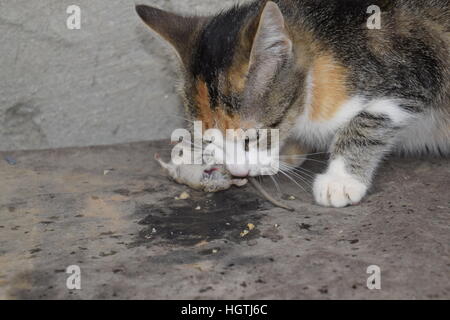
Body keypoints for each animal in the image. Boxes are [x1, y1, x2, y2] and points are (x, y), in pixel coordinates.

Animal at [135, 0, 448, 209]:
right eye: (207, 140)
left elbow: (369, 120)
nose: (237, 172)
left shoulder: (412, 70)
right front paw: (284, 155)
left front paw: (341, 179)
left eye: (252, 137)